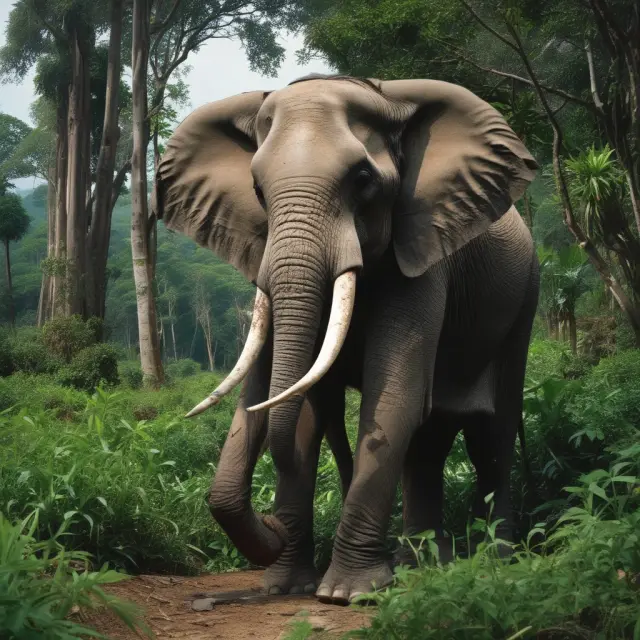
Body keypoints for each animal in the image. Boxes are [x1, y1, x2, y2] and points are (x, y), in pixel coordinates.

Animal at [151, 73, 540, 605]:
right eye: (257, 189)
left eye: (362, 179)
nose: (270, 523)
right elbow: (304, 413)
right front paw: (288, 587)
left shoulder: (420, 252)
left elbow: (392, 393)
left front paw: (346, 594)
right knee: (430, 438)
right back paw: (420, 566)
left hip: (524, 302)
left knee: (492, 432)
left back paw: (493, 561)